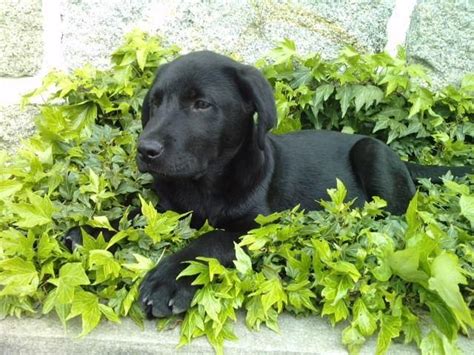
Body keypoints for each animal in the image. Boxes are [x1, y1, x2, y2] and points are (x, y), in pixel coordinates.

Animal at [133, 49, 470, 318]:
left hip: (372, 154)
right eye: (156, 102)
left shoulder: (259, 227)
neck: (203, 185)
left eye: (201, 104)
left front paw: (168, 280)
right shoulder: (160, 210)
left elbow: (212, 239)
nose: (145, 149)